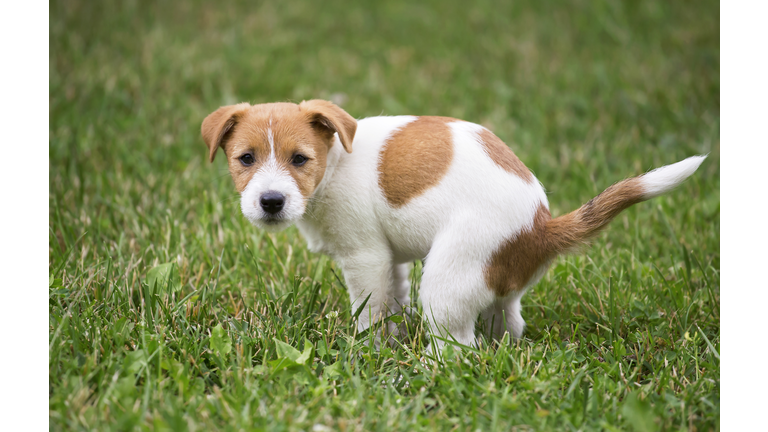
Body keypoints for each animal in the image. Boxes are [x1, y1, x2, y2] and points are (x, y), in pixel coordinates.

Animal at [201, 99, 704, 352]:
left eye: (300, 159)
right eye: (245, 159)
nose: (271, 202)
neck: (336, 161)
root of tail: (541, 226)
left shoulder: (365, 258)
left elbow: (370, 312)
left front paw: (369, 352)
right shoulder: (390, 261)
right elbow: (393, 301)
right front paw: (391, 342)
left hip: (447, 280)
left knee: (460, 347)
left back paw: (428, 369)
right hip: (493, 283)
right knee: (507, 323)